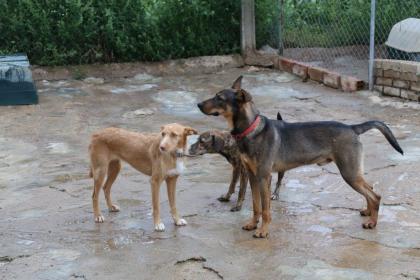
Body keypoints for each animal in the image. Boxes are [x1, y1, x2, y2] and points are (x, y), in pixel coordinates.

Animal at [197, 75, 404, 237]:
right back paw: (368, 212)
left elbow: (265, 209)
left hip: (349, 172)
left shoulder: (263, 177)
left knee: (375, 195)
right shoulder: (252, 176)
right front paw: (252, 224)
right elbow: (256, 206)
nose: (198, 104)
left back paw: (372, 222)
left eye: (219, 98)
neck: (250, 129)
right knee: (370, 189)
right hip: (354, 172)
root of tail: (352, 128)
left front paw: (263, 231)